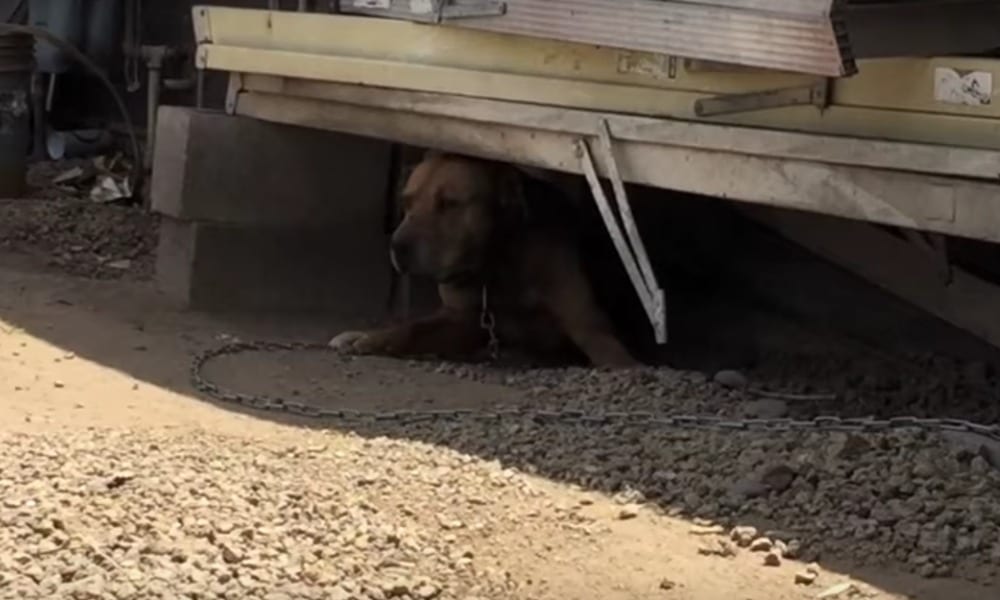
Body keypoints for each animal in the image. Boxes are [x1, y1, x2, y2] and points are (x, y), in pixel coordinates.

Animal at [328, 151, 640, 366]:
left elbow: (613, 356)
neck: (497, 265)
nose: (396, 245)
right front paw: (374, 339)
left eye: (450, 204)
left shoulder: (588, 325)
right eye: (406, 202)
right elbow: (414, 328)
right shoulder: (462, 319)